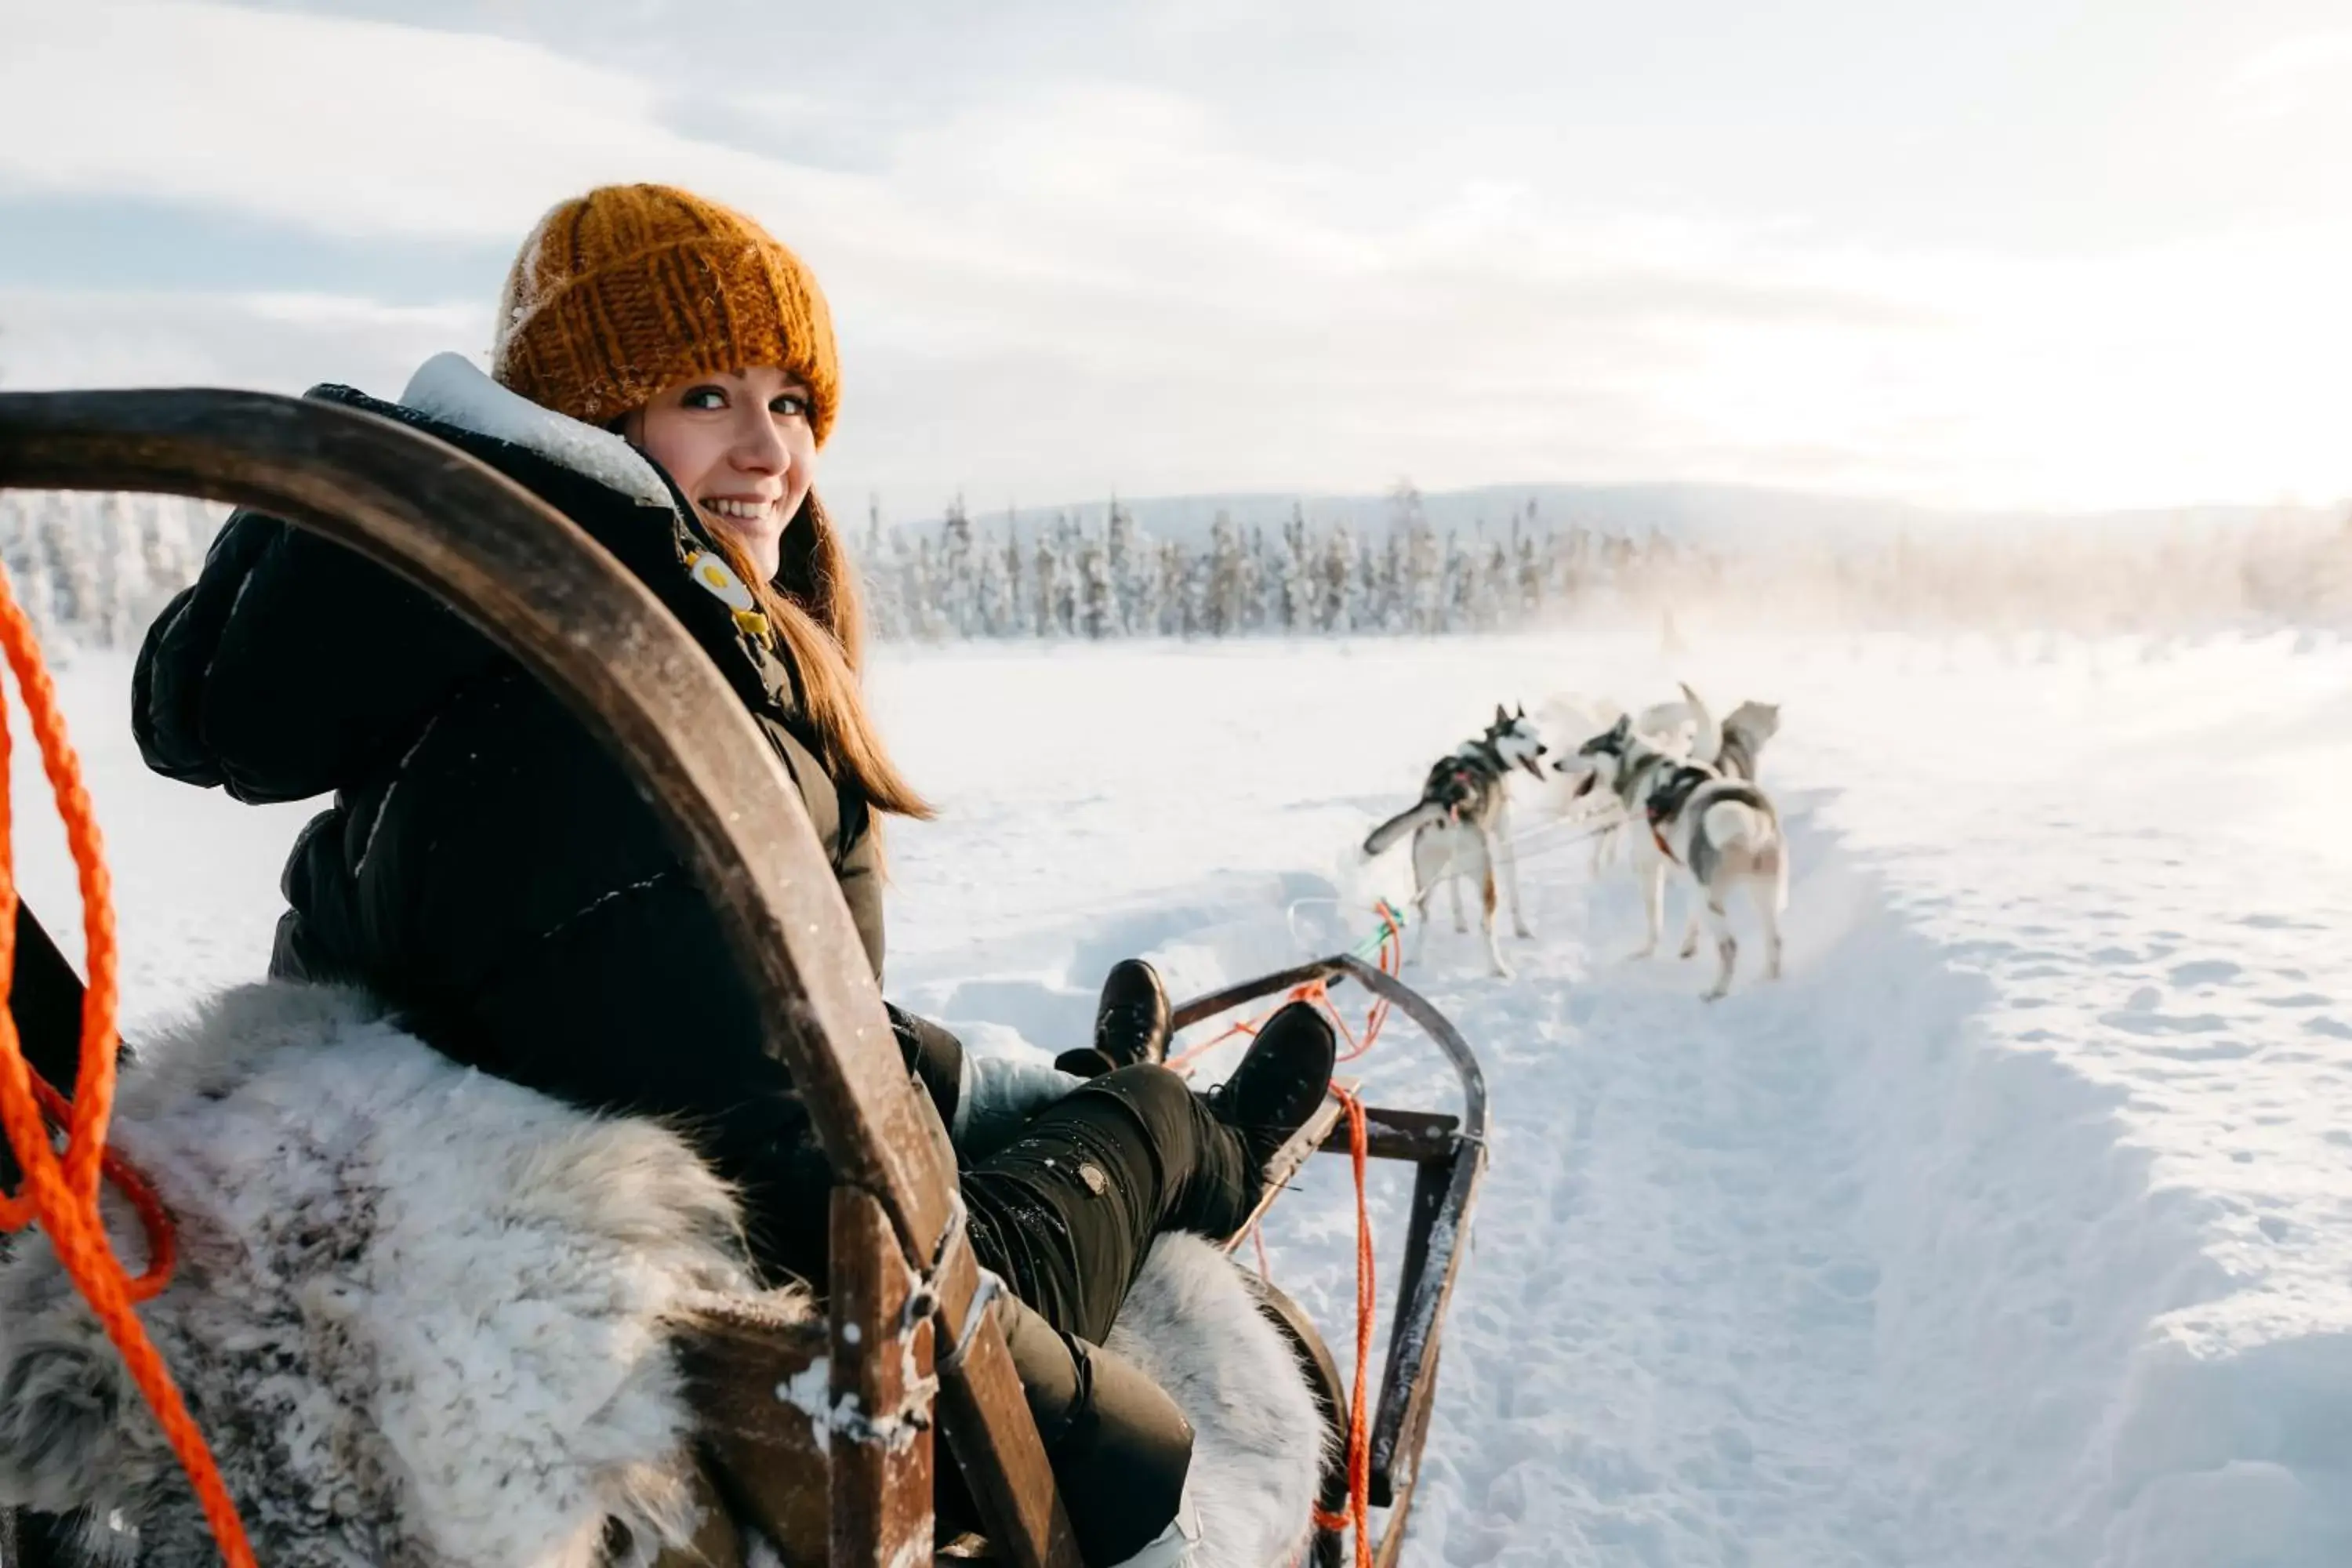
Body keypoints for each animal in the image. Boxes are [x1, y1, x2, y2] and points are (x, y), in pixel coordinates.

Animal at [1374, 705, 1552, 973]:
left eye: (1536, 732)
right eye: (1521, 735)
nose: (1543, 748)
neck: (1488, 753)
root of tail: (1445, 803)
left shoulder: (1451, 865)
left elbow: (1454, 890)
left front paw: (1459, 923)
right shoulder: (1504, 838)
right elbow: (1514, 892)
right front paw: (1522, 929)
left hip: (1427, 875)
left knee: (1425, 916)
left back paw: (1416, 958)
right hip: (1485, 876)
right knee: (1485, 926)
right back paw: (1499, 968)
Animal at [1646, 752, 1788, 1001]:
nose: (1649, 803)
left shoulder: (1692, 886)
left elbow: (1692, 917)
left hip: (1712, 902)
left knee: (1729, 947)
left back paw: (1716, 992)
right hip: (1766, 890)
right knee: (1774, 939)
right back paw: (1768, 981)